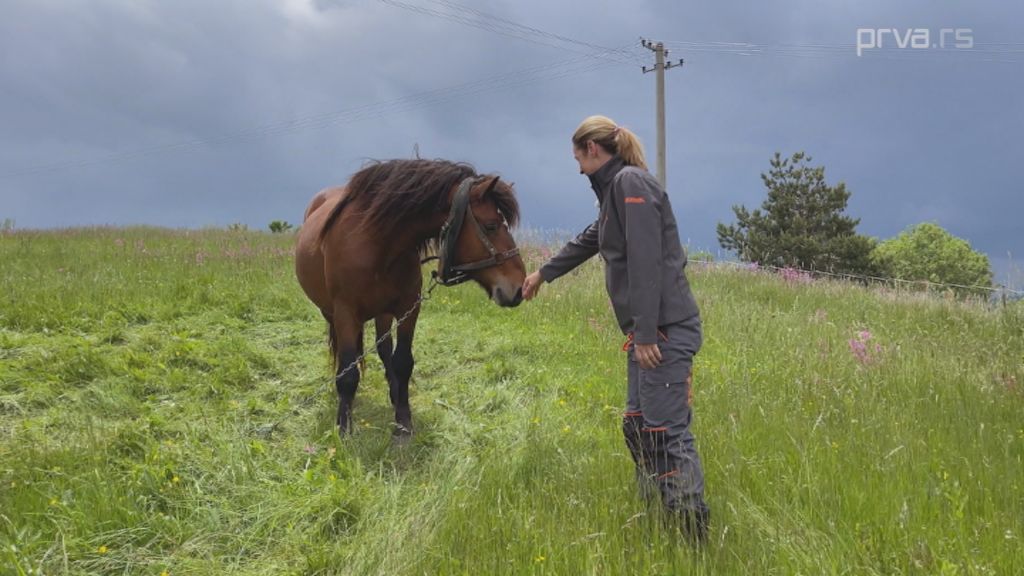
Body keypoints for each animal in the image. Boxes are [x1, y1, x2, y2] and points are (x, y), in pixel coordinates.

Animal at [292, 156, 524, 434]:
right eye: (491, 226)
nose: (519, 287)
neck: (374, 244)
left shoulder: (408, 308)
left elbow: (402, 362)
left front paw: (403, 421)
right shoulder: (345, 313)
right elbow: (348, 374)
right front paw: (344, 428)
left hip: (381, 313)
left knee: (383, 348)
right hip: (332, 314)